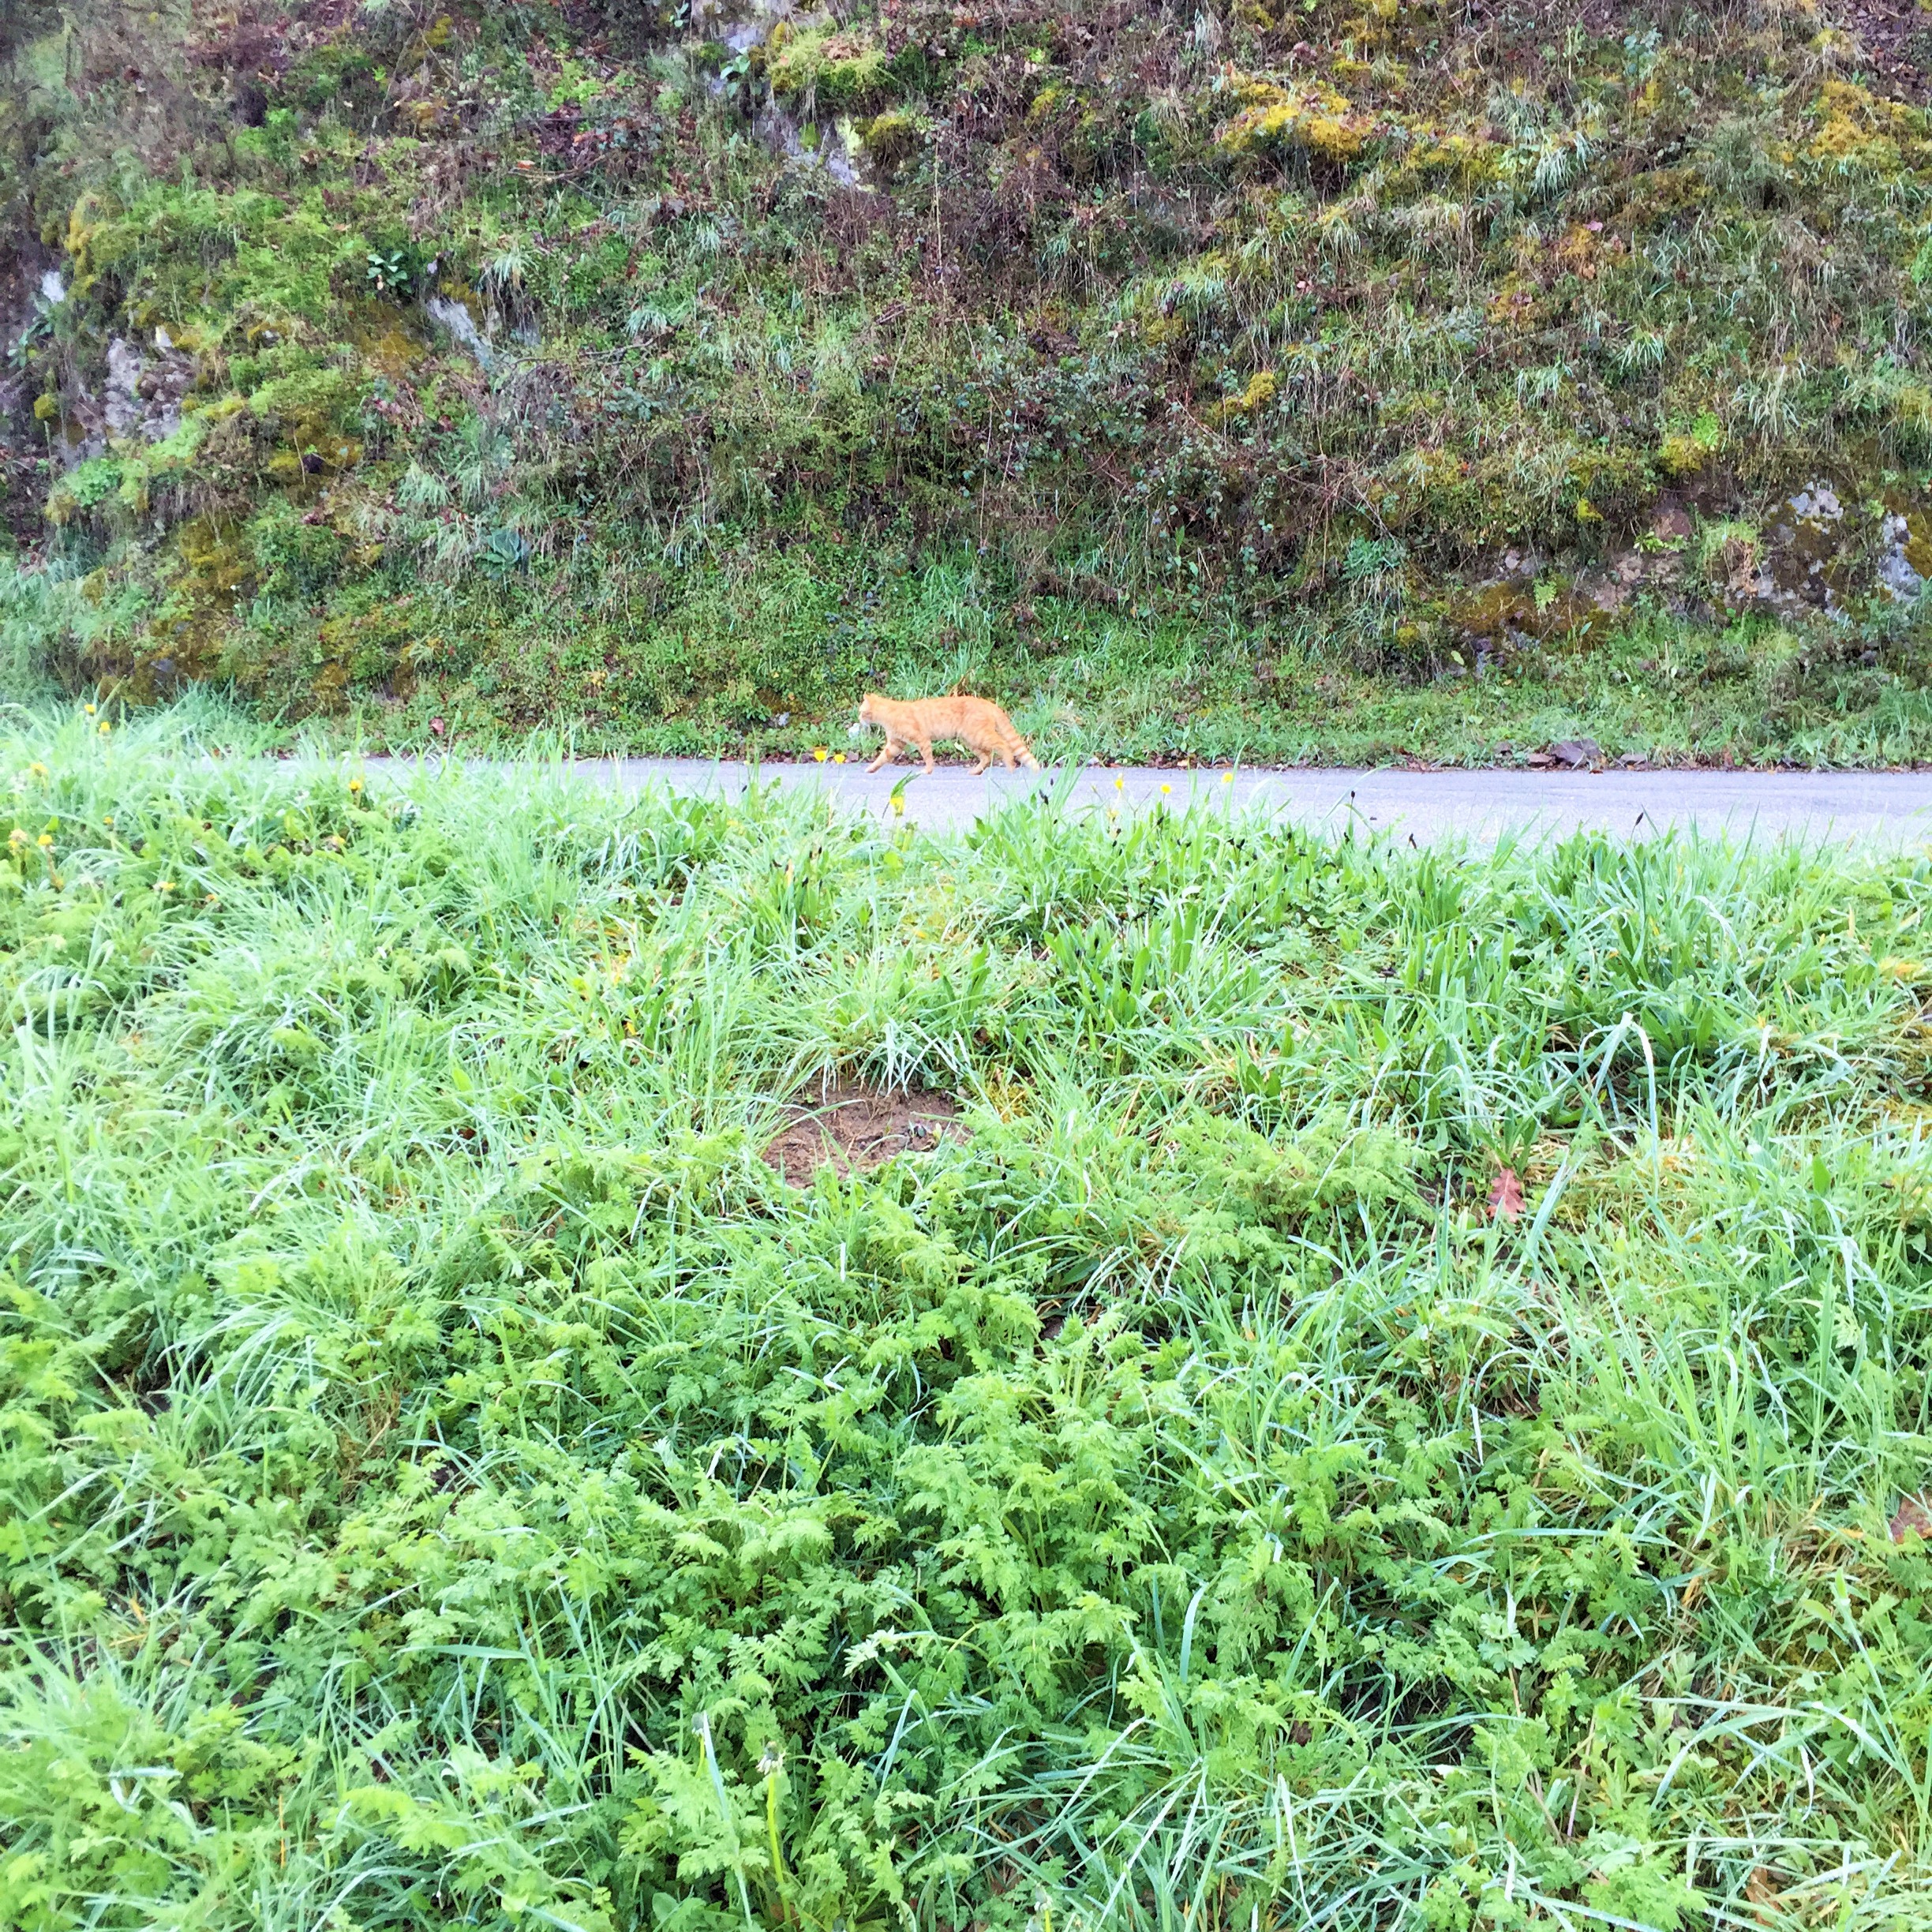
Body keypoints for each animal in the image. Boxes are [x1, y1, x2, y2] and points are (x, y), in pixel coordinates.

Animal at [852, 692, 1042, 775]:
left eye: (861, 712)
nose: (858, 719)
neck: (890, 714)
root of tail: (988, 703)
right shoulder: (895, 744)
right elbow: (881, 758)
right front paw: (871, 768)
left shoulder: (922, 739)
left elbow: (928, 757)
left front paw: (927, 771)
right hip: (970, 740)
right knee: (987, 756)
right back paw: (975, 772)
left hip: (978, 735)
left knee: (1003, 746)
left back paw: (1010, 767)